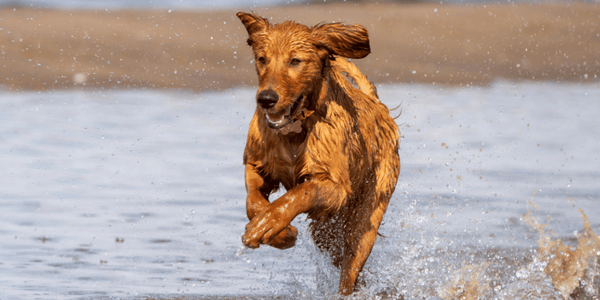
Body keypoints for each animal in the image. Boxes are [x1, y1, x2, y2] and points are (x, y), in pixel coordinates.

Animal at [237, 12, 400, 296]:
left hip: (365, 218)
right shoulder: (257, 164)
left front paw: (270, 223)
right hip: (328, 232)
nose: (266, 99)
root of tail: (379, 107)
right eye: (262, 59)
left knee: (350, 270)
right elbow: (253, 200)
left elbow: (302, 191)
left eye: (295, 61)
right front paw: (277, 232)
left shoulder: (336, 187)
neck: (294, 131)